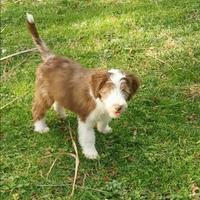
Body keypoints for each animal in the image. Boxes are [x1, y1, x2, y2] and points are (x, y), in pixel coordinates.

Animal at [26, 13, 139, 159]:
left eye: (124, 91)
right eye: (107, 91)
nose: (118, 107)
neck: (100, 102)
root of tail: (50, 58)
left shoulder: (105, 111)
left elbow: (104, 121)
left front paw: (104, 129)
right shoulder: (86, 119)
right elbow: (88, 138)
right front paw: (91, 154)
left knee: (58, 102)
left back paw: (61, 114)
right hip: (44, 92)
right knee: (38, 109)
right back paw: (41, 128)